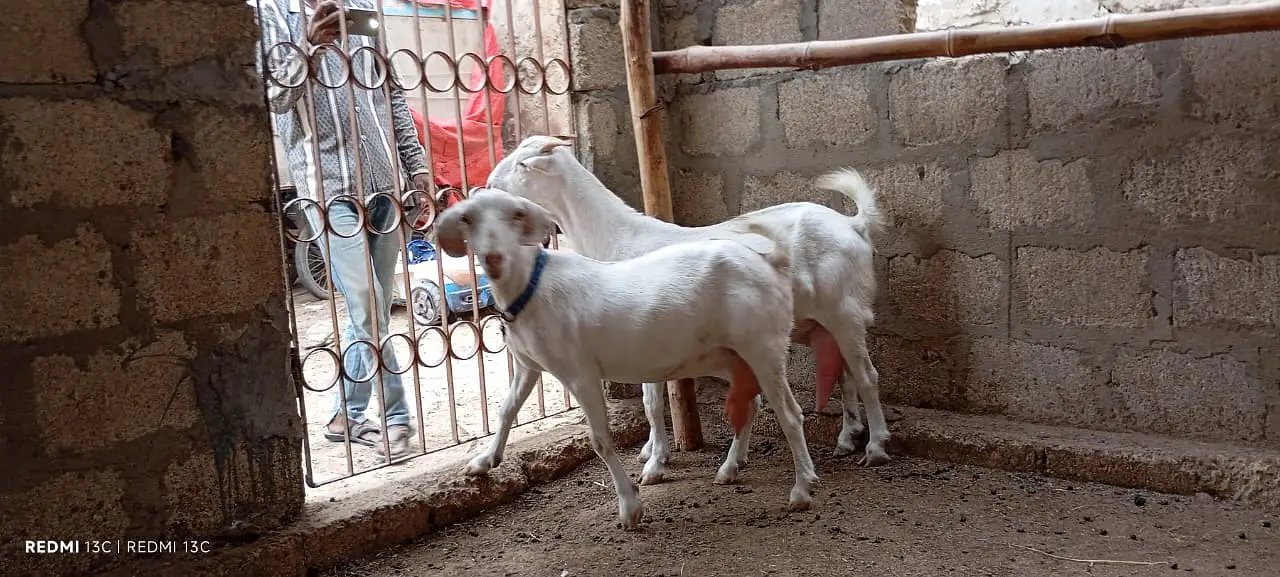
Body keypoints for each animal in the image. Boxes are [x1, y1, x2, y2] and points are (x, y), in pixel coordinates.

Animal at [438, 187, 818, 528]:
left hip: (763, 346)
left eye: (517, 215)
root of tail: (772, 262)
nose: (493, 259)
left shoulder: (580, 372)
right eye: (467, 218)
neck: (531, 287)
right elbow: (507, 410)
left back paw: (802, 489)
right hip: (725, 356)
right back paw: (730, 468)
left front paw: (630, 507)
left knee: (790, 414)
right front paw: (484, 461)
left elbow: (600, 440)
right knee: (751, 403)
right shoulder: (529, 365)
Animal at [485, 136, 891, 487]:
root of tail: (853, 224)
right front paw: (653, 452)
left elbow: (651, 403)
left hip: (844, 311)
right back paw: (847, 437)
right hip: (818, 322)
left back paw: (875, 446)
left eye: (523, 164)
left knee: (866, 375)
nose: (487, 183)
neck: (616, 238)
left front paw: (655, 463)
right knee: (843, 373)